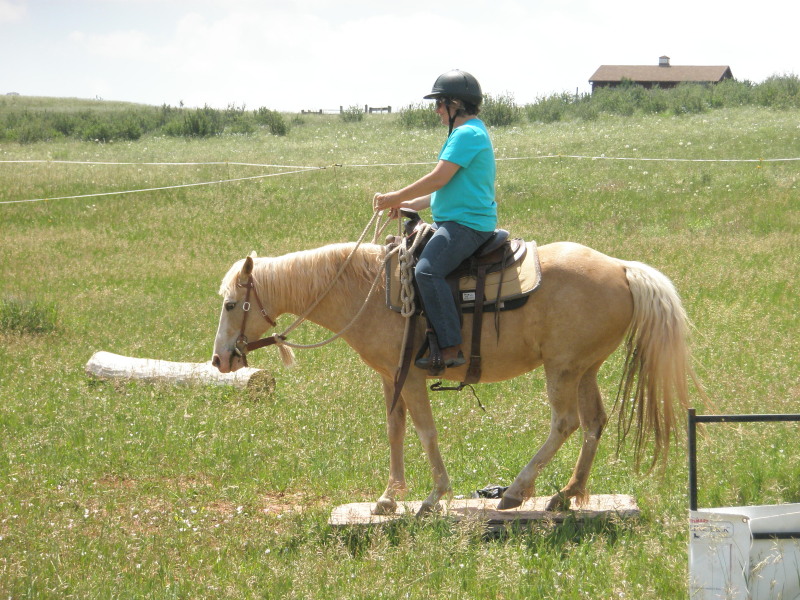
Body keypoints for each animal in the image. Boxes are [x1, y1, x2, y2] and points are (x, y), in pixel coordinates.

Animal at [211, 239, 692, 516]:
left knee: (565, 422)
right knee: (594, 422)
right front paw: (388, 498)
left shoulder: (411, 378)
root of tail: (621, 267)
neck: (369, 291)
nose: (219, 360)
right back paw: (566, 494)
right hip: (585, 368)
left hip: (562, 368)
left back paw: (516, 492)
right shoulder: (391, 377)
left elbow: (425, 431)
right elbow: (395, 429)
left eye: (232, 304)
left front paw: (433, 495)